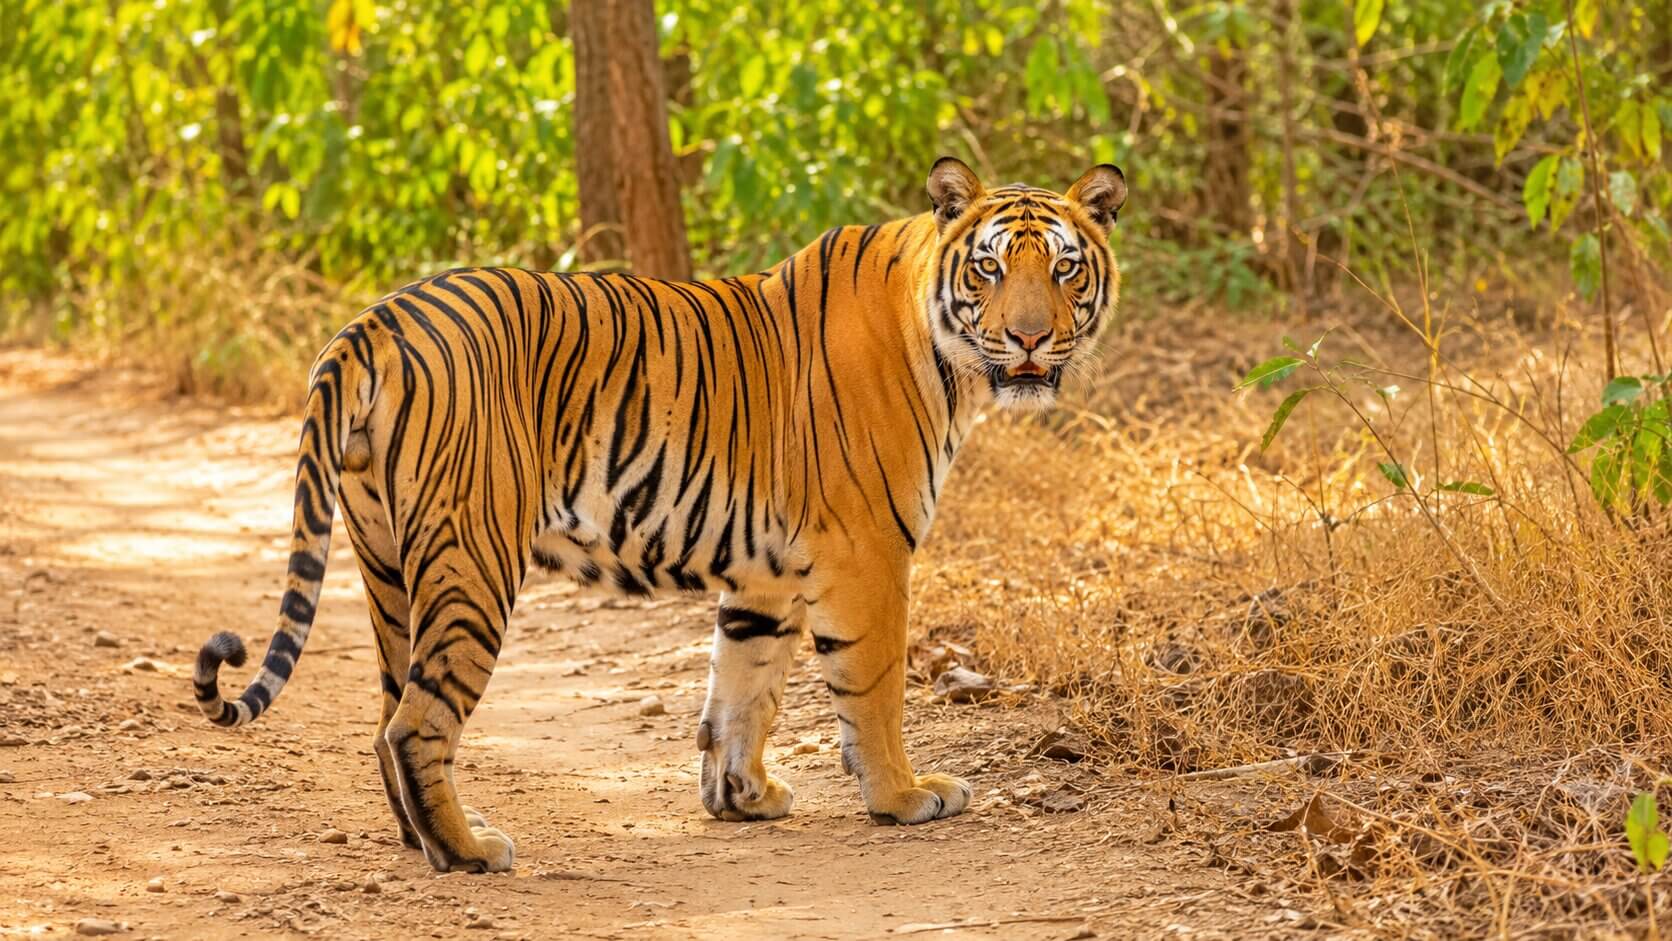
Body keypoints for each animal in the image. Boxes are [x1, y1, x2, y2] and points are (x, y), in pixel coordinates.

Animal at [193, 156, 1126, 873]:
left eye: (1065, 269)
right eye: (991, 269)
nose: (1032, 339)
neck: (948, 358)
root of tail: (375, 320)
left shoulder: (767, 573)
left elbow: (743, 688)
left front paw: (743, 796)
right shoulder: (867, 552)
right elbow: (873, 688)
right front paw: (903, 795)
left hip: (387, 564)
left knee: (386, 715)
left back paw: (421, 838)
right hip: (473, 560)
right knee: (416, 723)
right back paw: (468, 850)